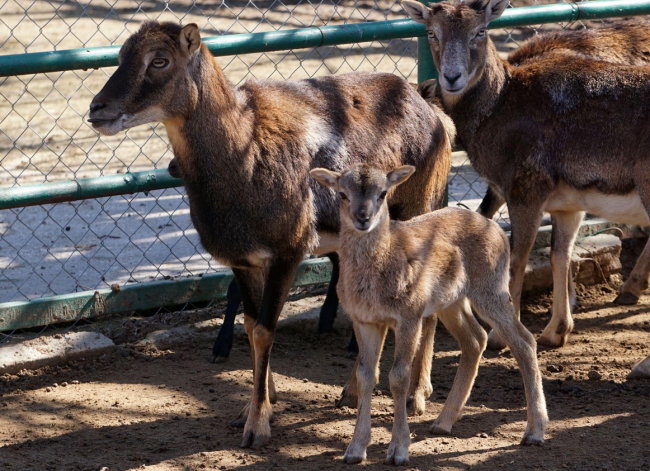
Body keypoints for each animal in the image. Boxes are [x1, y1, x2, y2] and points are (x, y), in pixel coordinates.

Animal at [86, 20, 450, 448]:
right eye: (121, 55)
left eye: (160, 60)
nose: (97, 109)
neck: (244, 160)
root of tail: (435, 115)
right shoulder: (243, 260)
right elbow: (248, 325)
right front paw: (251, 408)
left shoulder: (287, 251)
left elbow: (264, 330)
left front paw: (256, 427)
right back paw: (351, 391)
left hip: (421, 208)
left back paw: (417, 396)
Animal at [312, 164, 544, 466]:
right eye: (342, 194)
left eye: (383, 193)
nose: (363, 218)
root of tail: (497, 229)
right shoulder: (364, 320)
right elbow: (366, 375)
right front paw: (354, 450)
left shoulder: (409, 315)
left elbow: (398, 376)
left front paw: (398, 451)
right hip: (451, 302)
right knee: (475, 339)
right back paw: (443, 422)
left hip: (490, 288)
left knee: (524, 341)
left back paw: (534, 432)